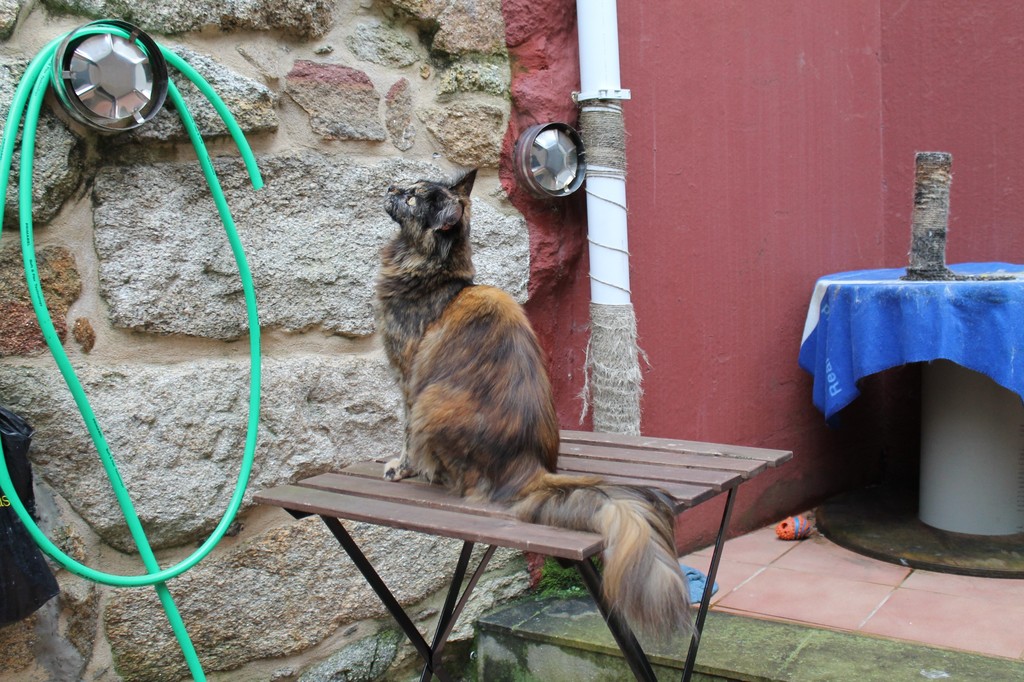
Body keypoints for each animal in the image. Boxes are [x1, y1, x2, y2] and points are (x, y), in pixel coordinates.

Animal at [375, 169, 692, 638]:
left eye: (413, 198)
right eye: (408, 187)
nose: (391, 188)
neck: (437, 276)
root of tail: (529, 469)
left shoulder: (407, 377)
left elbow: (403, 434)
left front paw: (402, 467)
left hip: (432, 401)